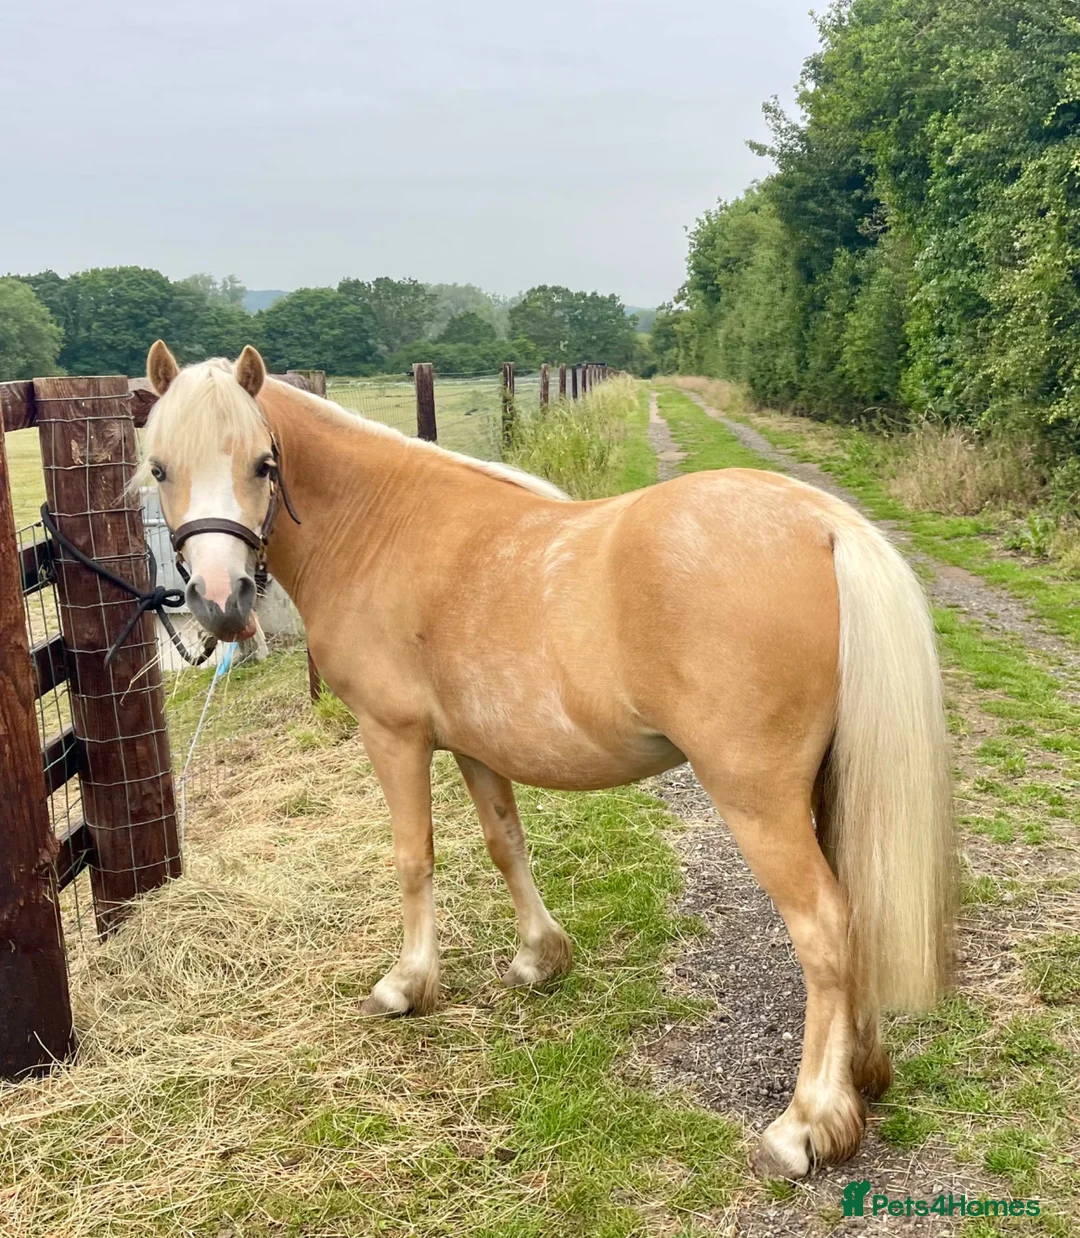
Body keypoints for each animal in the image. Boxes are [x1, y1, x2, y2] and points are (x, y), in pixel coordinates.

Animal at [140, 341, 954, 1179]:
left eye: (264, 463)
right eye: (160, 467)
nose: (220, 600)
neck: (383, 527)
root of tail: (824, 526)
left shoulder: (393, 735)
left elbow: (413, 858)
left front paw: (407, 985)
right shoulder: (474, 746)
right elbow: (506, 843)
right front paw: (540, 958)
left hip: (756, 798)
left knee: (823, 928)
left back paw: (805, 1123)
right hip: (823, 788)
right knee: (855, 910)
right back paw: (861, 1079)